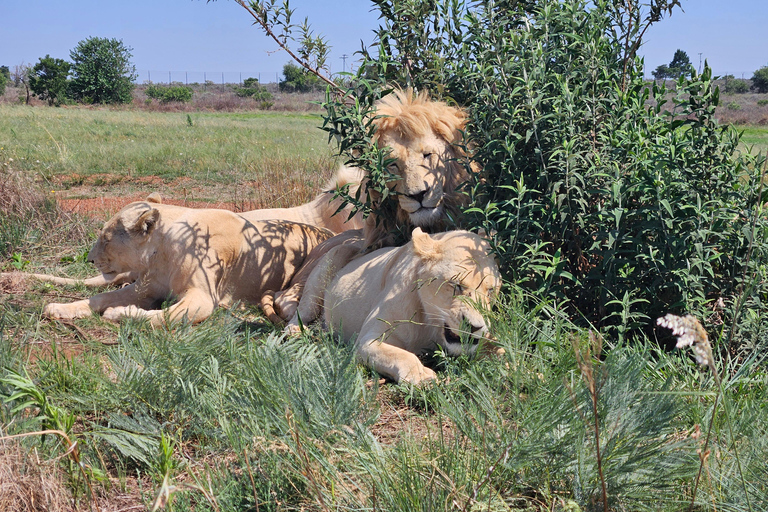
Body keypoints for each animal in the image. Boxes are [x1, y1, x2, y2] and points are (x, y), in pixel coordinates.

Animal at [39, 198, 332, 326]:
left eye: (106, 238)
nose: (90, 259)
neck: (160, 254)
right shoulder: (144, 289)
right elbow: (99, 298)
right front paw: (59, 308)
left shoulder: (202, 298)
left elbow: (163, 316)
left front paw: (118, 313)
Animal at [284, 228, 500, 384]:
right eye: (456, 285)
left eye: (491, 291)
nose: (475, 326)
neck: (431, 324)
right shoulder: (368, 340)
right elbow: (402, 355)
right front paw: (422, 376)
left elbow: (497, 347)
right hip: (318, 282)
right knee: (301, 312)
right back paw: (296, 332)